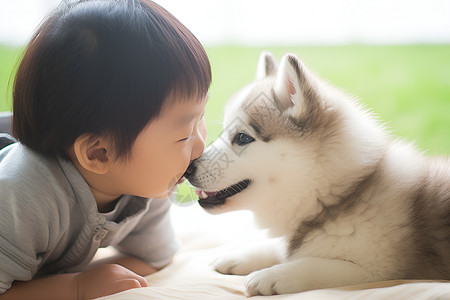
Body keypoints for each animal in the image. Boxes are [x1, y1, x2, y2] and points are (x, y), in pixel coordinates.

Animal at [185, 51, 450, 296]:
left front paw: (272, 275)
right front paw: (243, 255)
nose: (187, 168)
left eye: (242, 138)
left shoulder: (377, 271)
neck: (338, 197)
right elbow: (284, 249)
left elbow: (313, 264)